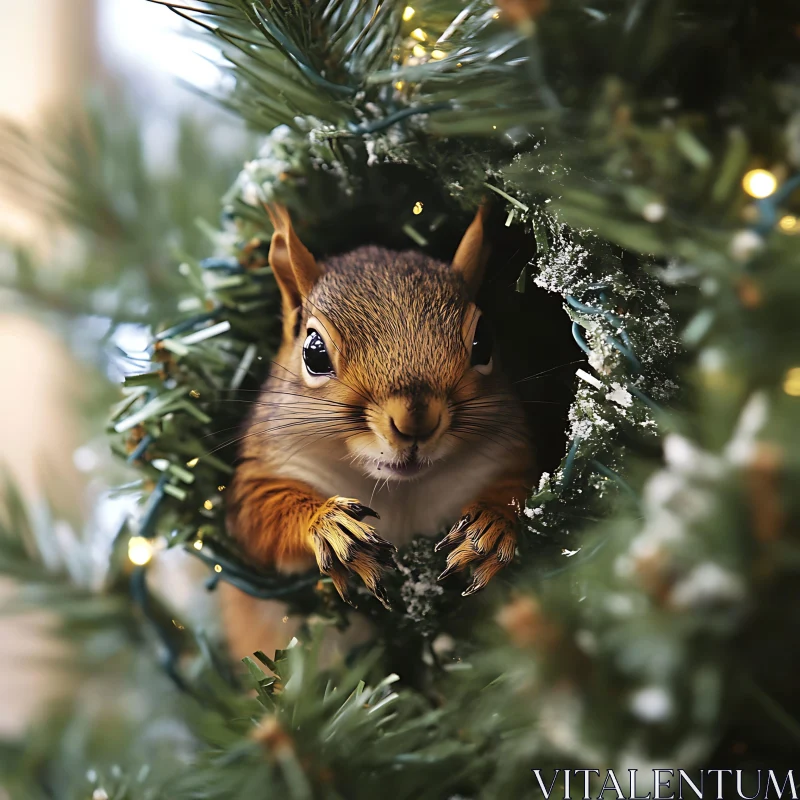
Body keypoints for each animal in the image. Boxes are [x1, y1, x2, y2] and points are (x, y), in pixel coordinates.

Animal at [222, 203, 533, 650]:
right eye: (314, 352)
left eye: (484, 343)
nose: (415, 419)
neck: (398, 491)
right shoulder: (259, 474)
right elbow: (260, 515)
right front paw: (329, 525)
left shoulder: (505, 454)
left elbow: (518, 487)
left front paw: (492, 525)